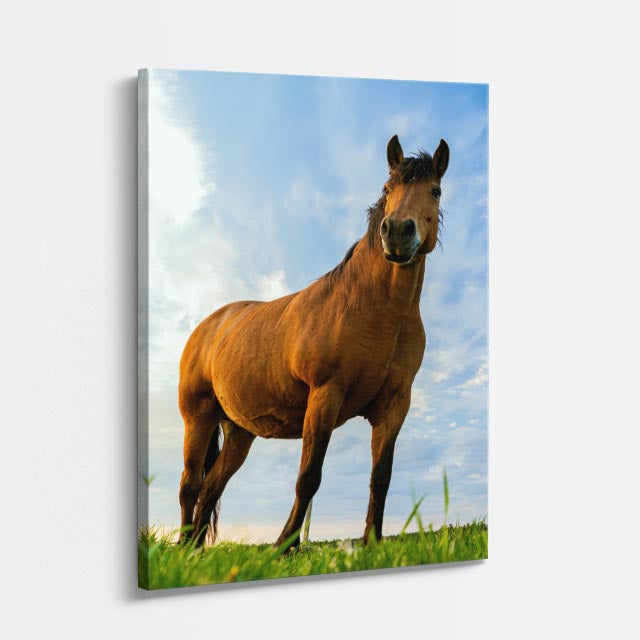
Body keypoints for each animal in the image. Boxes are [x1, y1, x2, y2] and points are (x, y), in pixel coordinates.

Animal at [178, 134, 449, 548]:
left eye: (435, 190)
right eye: (388, 188)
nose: (398, 233)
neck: (378, 310)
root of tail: (208, 326)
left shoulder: (394, 407)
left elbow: (381, 479)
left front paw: (372, 543)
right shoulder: (325, 395)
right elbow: (308, 478)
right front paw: (283, 547)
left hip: (239, 433)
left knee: (211, 488)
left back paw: (194, 551)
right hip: (198, 419)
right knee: (190, 486)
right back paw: (181, 548)